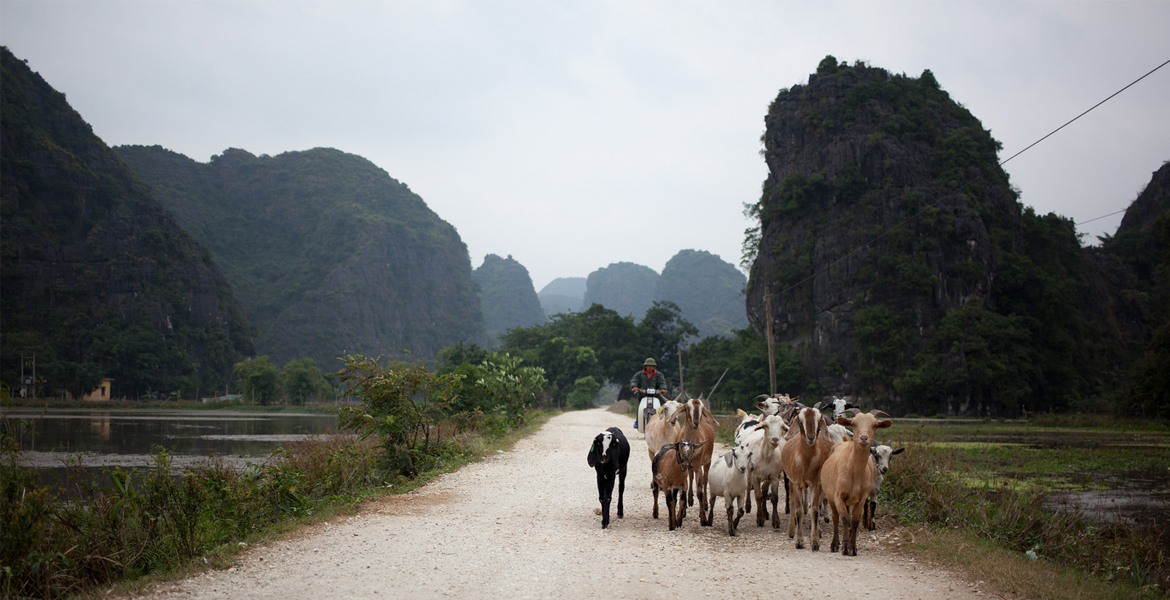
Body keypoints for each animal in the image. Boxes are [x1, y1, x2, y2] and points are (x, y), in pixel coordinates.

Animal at [781, 404, 837, 549]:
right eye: (800, 421)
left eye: (819, 419)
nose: (811, 438)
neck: (805, 461)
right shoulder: (796, 483)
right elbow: (799, 511)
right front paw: (799, 541)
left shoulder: (815, 484)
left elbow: (815, 510)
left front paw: (815, 541)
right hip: (790, 480)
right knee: (792, 502)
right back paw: (791, 531)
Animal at [823, 409, 893, 554]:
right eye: (853, 423)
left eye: (875, 425)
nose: (864, 438)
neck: (853, 472)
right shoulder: (839, 496)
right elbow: (844, 519)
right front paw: (844, 546)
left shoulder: (861, 498)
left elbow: (854, 520)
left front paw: (853, 547)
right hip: (831, 497)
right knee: (836, 518)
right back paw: (835, 544)